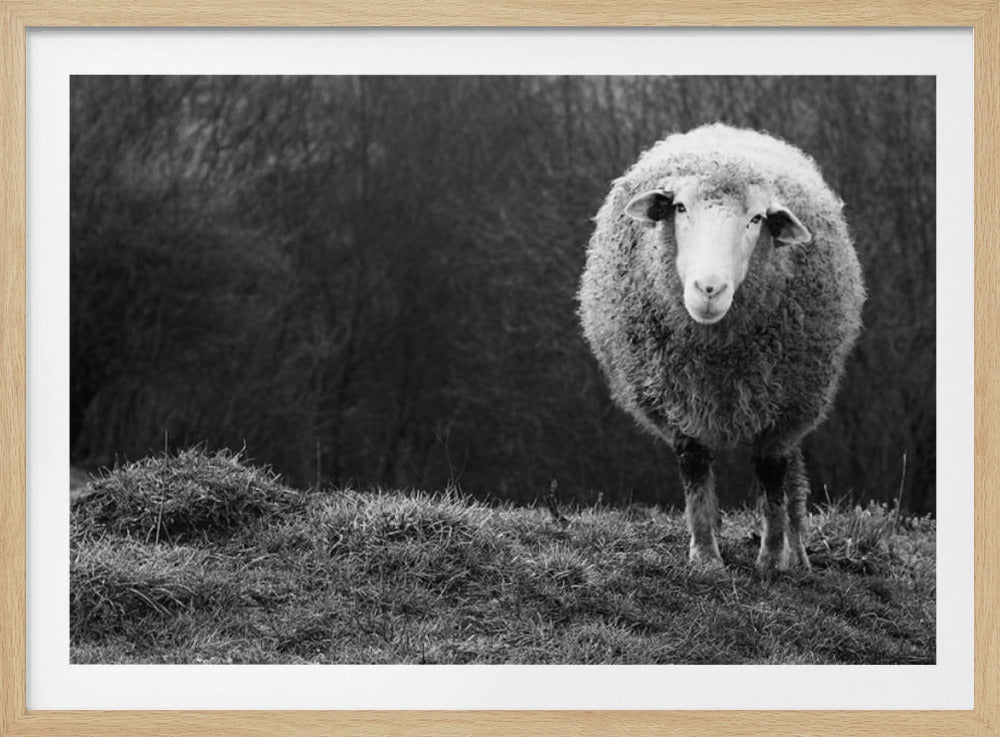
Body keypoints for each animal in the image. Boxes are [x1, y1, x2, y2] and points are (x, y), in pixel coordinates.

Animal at [578, 123, 865, 572]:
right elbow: (695, 469)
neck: (717, 357)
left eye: (756, 218)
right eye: (679, 207)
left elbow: (772, 477)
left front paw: (771, 558)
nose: (708, 289)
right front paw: (705, 556)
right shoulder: (678, 400)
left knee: (792, 479)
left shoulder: (784, 409)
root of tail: (724, 130)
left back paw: (797, 554)